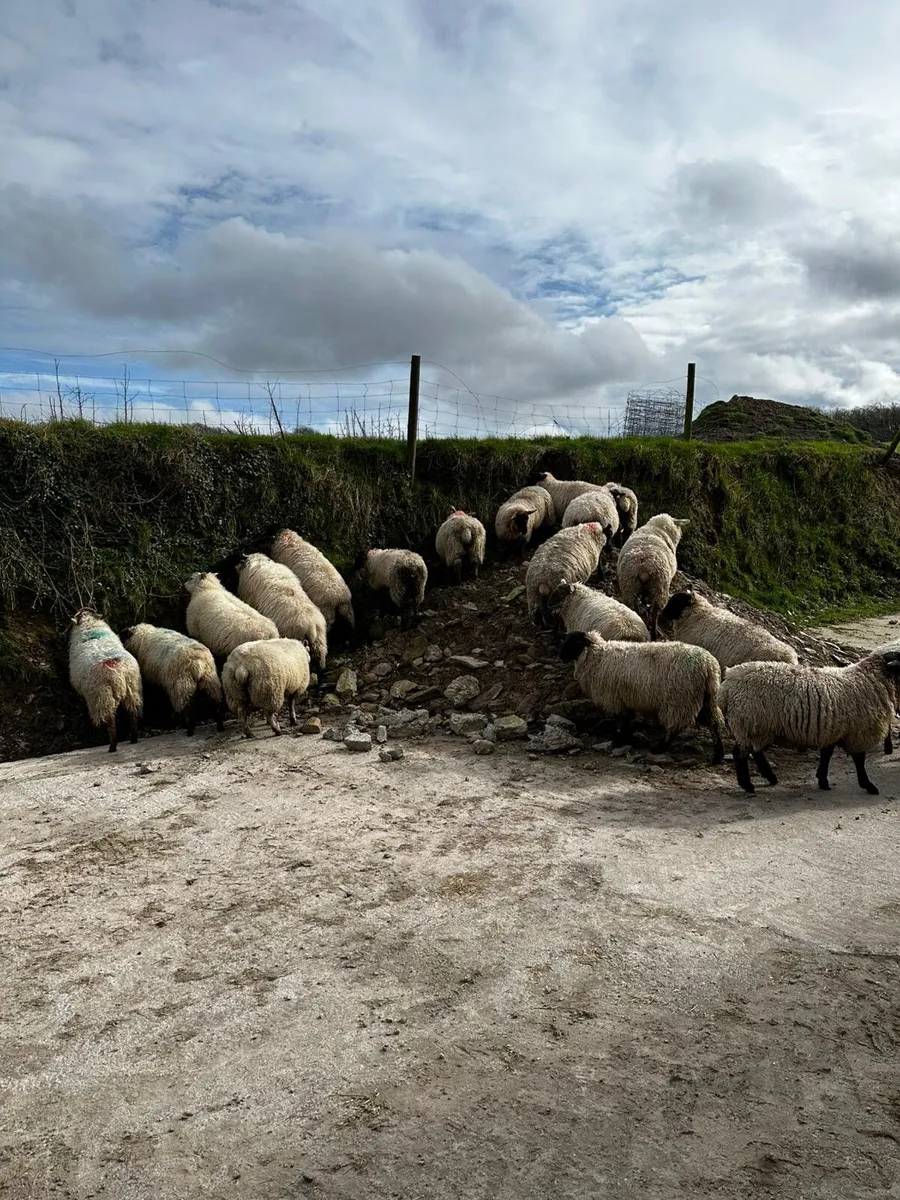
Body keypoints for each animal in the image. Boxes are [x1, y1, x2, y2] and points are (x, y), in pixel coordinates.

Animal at [68, 608, 143, 752]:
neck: (89, 626)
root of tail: (118, 672)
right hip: (133, 688)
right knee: (133, 713)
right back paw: (134, 738)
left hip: (101, 695)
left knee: (110, 720)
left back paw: (112, 746)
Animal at [560, 630, 725, 762]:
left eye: (575, 641)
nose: (561, 656)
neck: (597, 656)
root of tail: (708, 666)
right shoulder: (625, 698)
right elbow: (626, 719)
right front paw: (626, 738)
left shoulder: (615, 697)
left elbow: (621, 721)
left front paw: (618, 740)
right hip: (706, 699)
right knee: (714, 724)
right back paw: (718, 755)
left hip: (679, 699)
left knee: (675, 726)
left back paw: (660, 748)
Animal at [718, 650, 900, 795]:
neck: (869, 680)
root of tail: (726, 686)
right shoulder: (858, 732)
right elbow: (859, 761)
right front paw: (868, 785)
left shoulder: (833, 729)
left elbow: (826, 755)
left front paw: (823, 780)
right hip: (750, 723)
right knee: (740, 753)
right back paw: (748, 785)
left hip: (757, 727)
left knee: (755, 752)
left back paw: (770, 777)